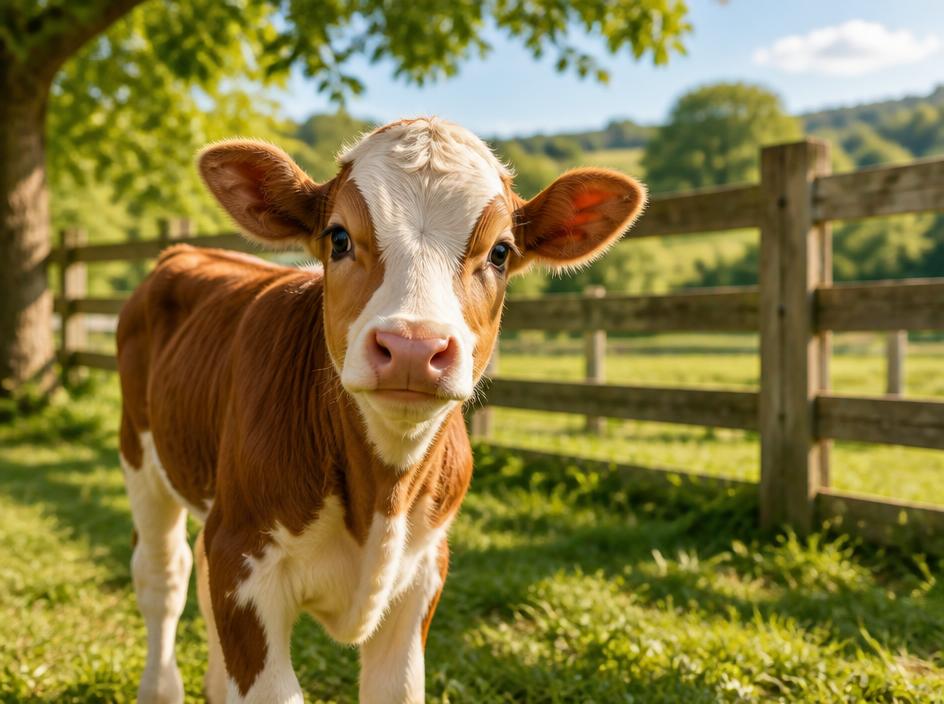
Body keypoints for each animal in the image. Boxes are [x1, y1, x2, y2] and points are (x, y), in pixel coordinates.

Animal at [116, 117, 646, 704]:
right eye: (339, 237)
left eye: (501, 252)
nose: (413, 347)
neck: (382, 495)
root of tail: (186, 251)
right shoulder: (245, 560)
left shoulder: (423, 573)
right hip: (141, 456)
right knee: (164, 574)